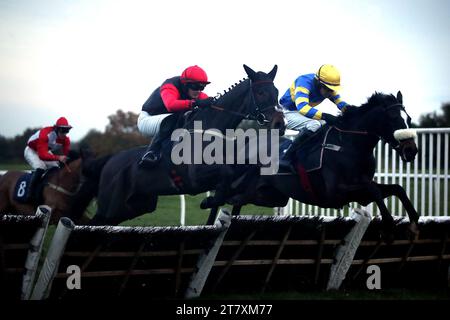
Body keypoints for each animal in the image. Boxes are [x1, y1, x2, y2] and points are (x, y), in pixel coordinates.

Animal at [85, 64, 284, 225]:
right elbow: (225, 174)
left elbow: (237, 175)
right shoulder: (195, 177)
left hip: (134, 206)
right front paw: (208, 201)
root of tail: (109, 161)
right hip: (111, 206)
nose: (280, 124)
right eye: (260, 92)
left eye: (276, 92)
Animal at [223, 91, 420, 239]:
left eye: (409, 119)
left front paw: (413, 221)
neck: (349, 145)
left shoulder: (361, 193)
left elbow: (396, 188)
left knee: (237, 204)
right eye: (393, 118)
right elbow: (375, 189)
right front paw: (389, 225)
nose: (411, 150)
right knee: (230, 199)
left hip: (270, 196)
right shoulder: (335, 192)